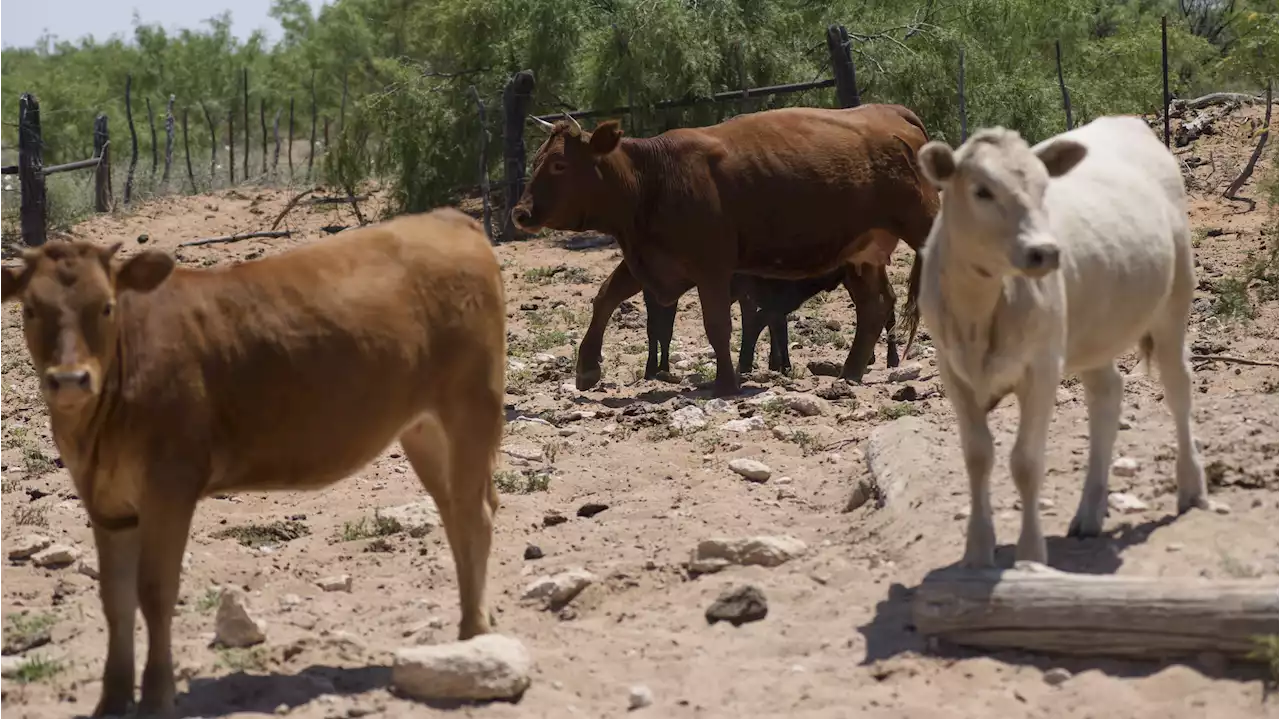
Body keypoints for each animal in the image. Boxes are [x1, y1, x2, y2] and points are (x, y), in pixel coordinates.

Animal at [1, 205, 509, 711]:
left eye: (106, 306)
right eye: (30, 309)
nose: (70, 380)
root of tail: (448, 217)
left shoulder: (170, 487)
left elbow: (156, 592)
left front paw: (159, 697)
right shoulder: (105, 503)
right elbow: (115, 599)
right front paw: (112, 701)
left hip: (472, 404)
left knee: (476, 515)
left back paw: (474, 635)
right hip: (423, 429)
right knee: (454, 513)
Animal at [509, 104, 942, 396]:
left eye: (560, 165)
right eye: (538, 159)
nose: (520, 212)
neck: (653, 177)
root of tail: (889, 112)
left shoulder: (712, 267)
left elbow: (718, 324)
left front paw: (726, 381)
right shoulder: (650, 260)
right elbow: (605, 297)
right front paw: (586, 367)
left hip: (922, 225)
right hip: (861, 254)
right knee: (874, 307)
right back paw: (849, 373)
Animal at [916, 116, 1203, 565]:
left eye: (1043, 187)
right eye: (982, 190)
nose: (1045, 252)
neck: (979, 313)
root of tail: (1126, 120)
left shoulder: (1042, 366)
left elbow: (1026, 462)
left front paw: (1031, 555)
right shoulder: (952, 370)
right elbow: (977, 456)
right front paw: (977, 553)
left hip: (1173, 302)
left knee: (1178, 387)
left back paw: (1190, 486)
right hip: (1095, 330)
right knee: (1107, 394)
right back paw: (1089, 513)